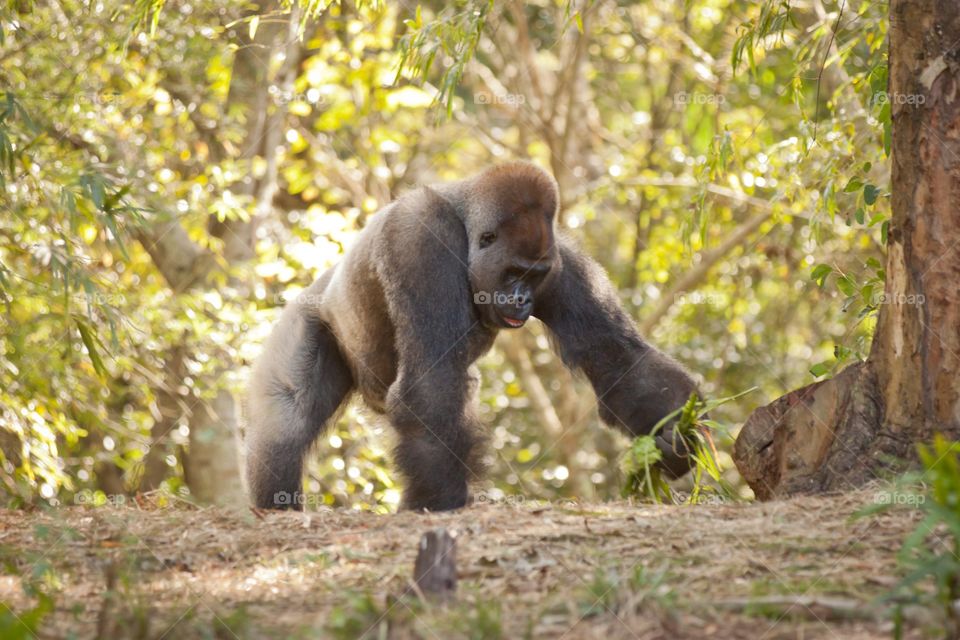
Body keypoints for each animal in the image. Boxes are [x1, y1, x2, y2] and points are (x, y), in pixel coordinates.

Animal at [244, 162, 699, 511]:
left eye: (533, 276)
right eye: (513, 273)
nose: (521, 300)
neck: (464, 223)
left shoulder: (559, 262)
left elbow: (615, 356)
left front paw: (678, 434)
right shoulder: (420, 239)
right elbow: (432, 380)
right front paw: (439, 500)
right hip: (307, 317)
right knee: (287, 418)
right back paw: (276, 505)